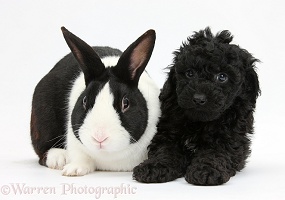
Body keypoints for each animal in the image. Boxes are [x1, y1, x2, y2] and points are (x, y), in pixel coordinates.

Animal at [31, 27, 161, 177]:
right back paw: (59, 159)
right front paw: (73, 170)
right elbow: (81, 157)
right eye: (84, 100)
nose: (99, 137)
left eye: (125, 103)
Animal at [133, 27, 260, 185]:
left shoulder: (230, 137)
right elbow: (165, 150)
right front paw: (154, 166)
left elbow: (216, 153)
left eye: (222, 77)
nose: (199, 99)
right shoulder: (169, 131)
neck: (199, 122)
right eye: (190, 73)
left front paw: (206, 170)